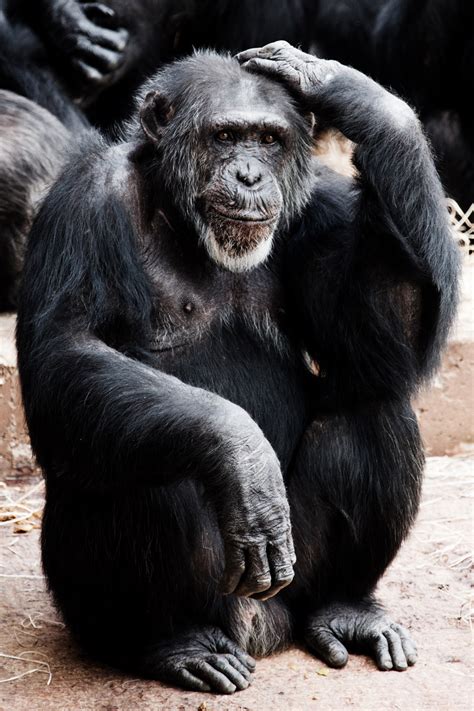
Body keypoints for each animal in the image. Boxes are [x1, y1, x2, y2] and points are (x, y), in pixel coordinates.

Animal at [17, 41, 460, 692]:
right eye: (225, 136)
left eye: (269, 139)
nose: (250, 173)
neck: (180, 217)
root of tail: (257, 627)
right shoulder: (82, 202)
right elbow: (66, 352)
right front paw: (241, 454)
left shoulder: (322, 207)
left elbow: (383, 343)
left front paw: (349, 92)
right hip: (149, 597)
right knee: (151, 451)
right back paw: (175, 642)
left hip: (289, 584)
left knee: (374, 407)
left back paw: (345, 608)